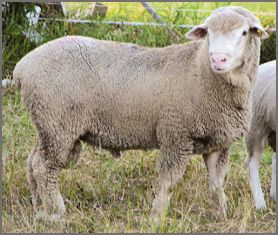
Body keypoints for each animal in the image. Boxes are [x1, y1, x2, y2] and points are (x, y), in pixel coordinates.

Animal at [12, 5, 268, 222]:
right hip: (58, 125)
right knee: (44, 167)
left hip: (48, 125)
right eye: (208, 32)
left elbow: (217, 182)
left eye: (244, 32)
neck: (201, 69)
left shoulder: (218, 143)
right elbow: (168, 181)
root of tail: (22, 67)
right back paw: (56, 212)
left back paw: (40, 211)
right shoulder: (176, 135)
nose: (218, 58)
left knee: (32, 162)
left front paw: (220, 214)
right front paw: (158, 217)